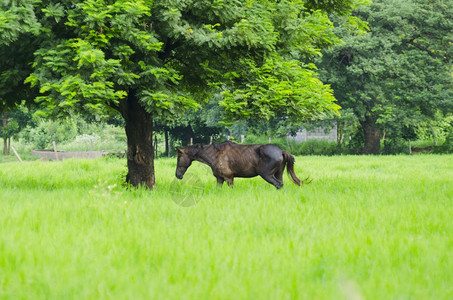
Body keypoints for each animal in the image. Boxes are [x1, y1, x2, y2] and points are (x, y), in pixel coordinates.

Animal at [175, 141, 306, 189]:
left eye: (179, 157)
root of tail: (281, 151)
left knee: (278, 184)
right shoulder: (219, 179)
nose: (177, 175)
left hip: (267, 175)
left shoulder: (229, 178)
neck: (214, 155)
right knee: (281, 184)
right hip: (279, 173)